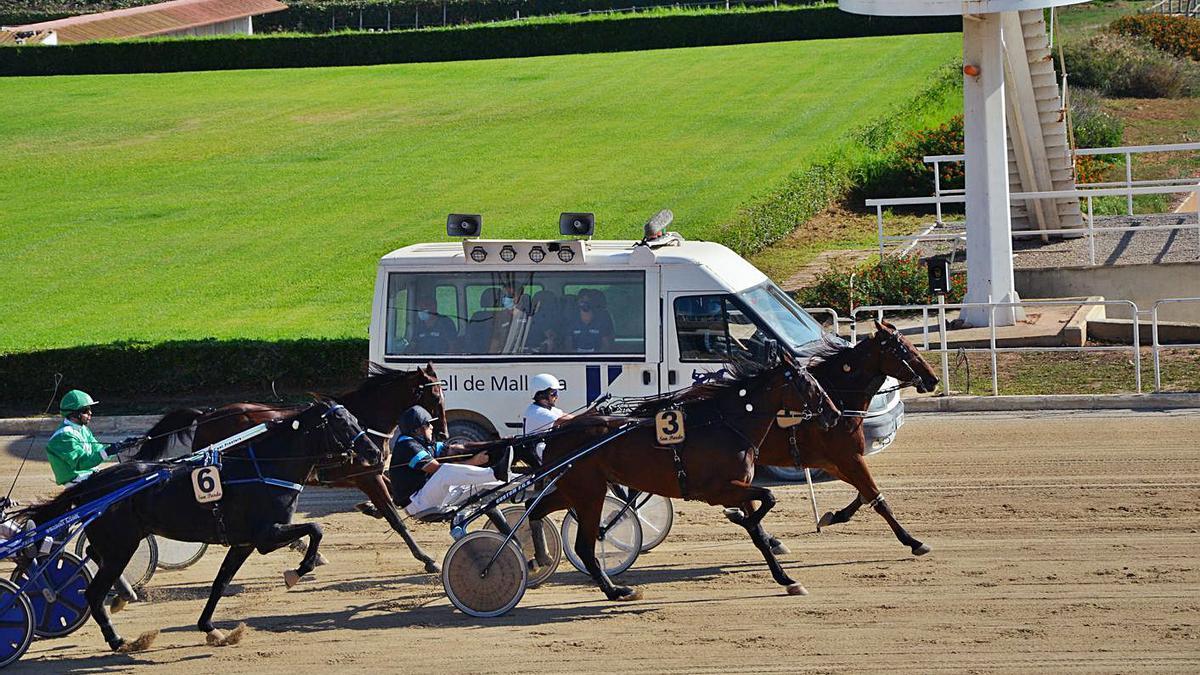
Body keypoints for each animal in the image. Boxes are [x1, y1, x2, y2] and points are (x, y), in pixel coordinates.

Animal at [139, 360, 451, 569]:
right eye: (435, 396)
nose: (443, 434)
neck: (362, 420)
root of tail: (206, 415)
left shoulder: (371, 470)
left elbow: (395, 499)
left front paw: (369, 508)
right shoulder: (365, 474)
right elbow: (394, 516)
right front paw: (427, 559)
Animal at [530, 357, 840, 598]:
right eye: (808, 383)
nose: (834, 413)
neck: (726, 425)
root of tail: (555, 434)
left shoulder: (740, 487)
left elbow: (760, 531)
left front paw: (786, 579)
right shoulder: (719, 490)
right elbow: (769, 497)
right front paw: (740, 519)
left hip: (573, 491)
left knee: (535, 511)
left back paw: (540, 557)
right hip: (589, 494)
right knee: (584, 545)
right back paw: (616, 590)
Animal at [753, 319, 940, 557]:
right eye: (904, 349)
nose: (933, 379)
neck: (837, 398)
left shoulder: (831, 460)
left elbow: (865, 493)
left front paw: (834, 516)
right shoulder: (848, 457)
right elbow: (875, 496)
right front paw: (912, 540)